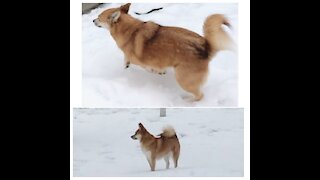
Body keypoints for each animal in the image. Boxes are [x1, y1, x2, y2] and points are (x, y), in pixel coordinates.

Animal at [94, 3, 234, 101]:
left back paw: (187, 101)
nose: (93, 20)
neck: (130, 30)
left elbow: (143, 65)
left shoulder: (140, 61)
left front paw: (153, 71)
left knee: (199, 96)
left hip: (183, 79)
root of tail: (206, 47)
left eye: (99, 17)